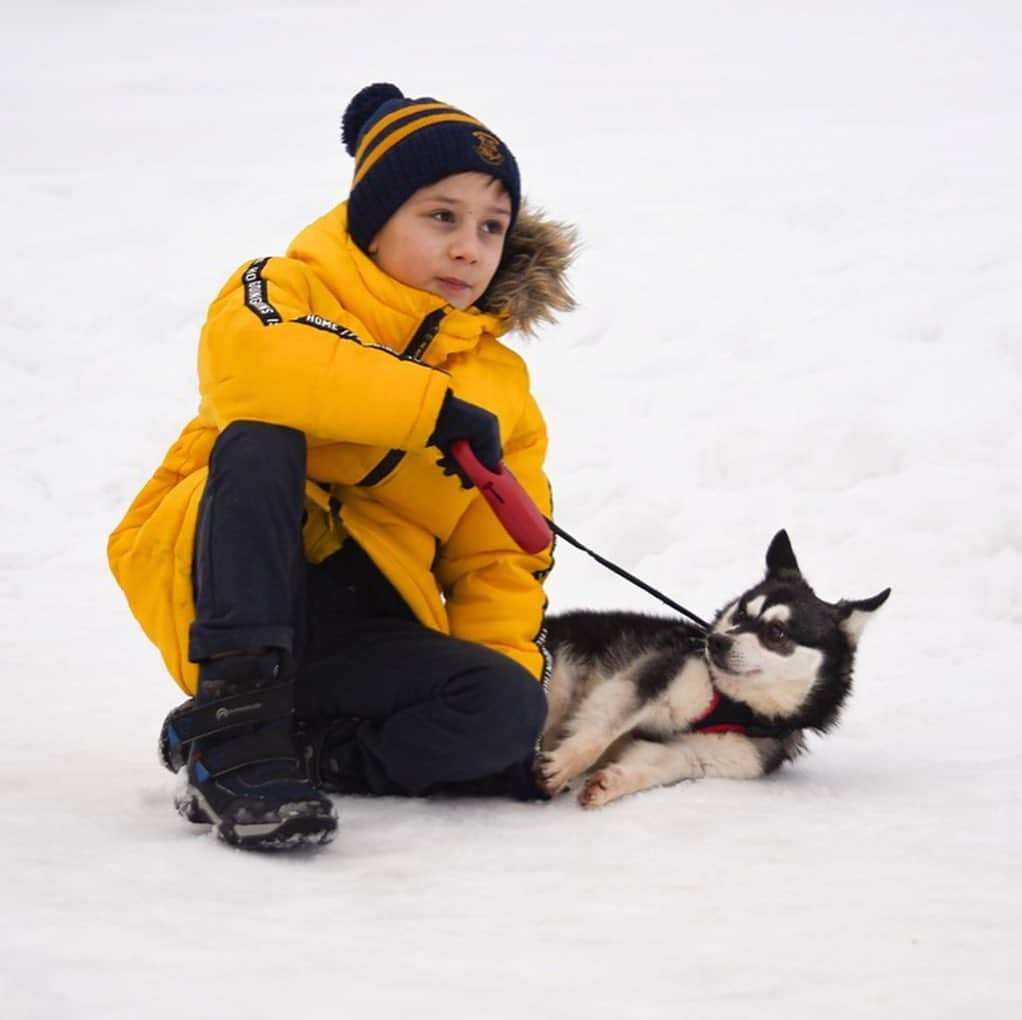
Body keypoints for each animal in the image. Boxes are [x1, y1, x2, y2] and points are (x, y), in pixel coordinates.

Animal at [543, 531, 887, 809]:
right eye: (741, 614)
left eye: (776, 632)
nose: (717, 642)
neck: (736, 705)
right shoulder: (654, 678)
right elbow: (600, 733)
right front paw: (564, 763)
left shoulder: (705, 754)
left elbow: (658, 761)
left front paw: (610, 783)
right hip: (560, 684)